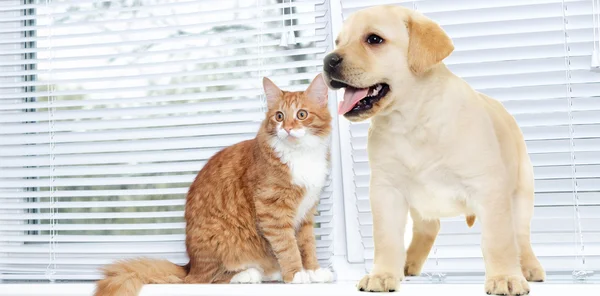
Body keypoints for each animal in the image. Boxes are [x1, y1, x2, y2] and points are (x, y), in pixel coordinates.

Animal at [96, 74, 336, 296]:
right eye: (279, 116)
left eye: (301, 114)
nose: (286, 128)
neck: (301, 155)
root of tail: (189, 265)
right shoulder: (273, 212)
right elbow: (288, 246)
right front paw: (296, 273)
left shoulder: (307, 214)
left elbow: (307, 245)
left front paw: (313, 270)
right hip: (221, 240)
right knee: (205, 279)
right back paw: (248, 274)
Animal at [324, 4, 548, 296]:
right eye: (338, 42)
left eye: (374, 39)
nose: (328, 61)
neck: (412, 120)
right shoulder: (386, 190)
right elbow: (386, 238)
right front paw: (383, 274)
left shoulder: (488, 187)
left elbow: (498, 239)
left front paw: (505, 277)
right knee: (429, 227)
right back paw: (407, 263)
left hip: (522, 192)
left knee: (521, 235)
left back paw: (529, 268)